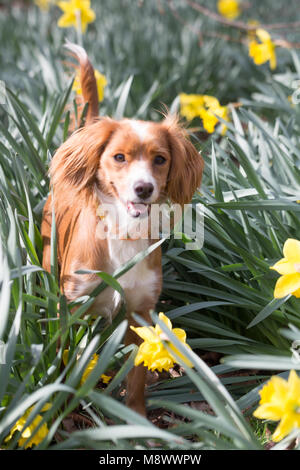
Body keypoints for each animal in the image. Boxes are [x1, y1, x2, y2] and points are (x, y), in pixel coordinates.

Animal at [41, 42, 204, 414]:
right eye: (119, 157)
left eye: (160, 159)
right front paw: (61, 406)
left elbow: (136, 375)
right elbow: (65, 358)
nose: (143, 188)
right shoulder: (73, 305)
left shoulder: (141, 312)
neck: (123, 233)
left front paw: (137, 416)